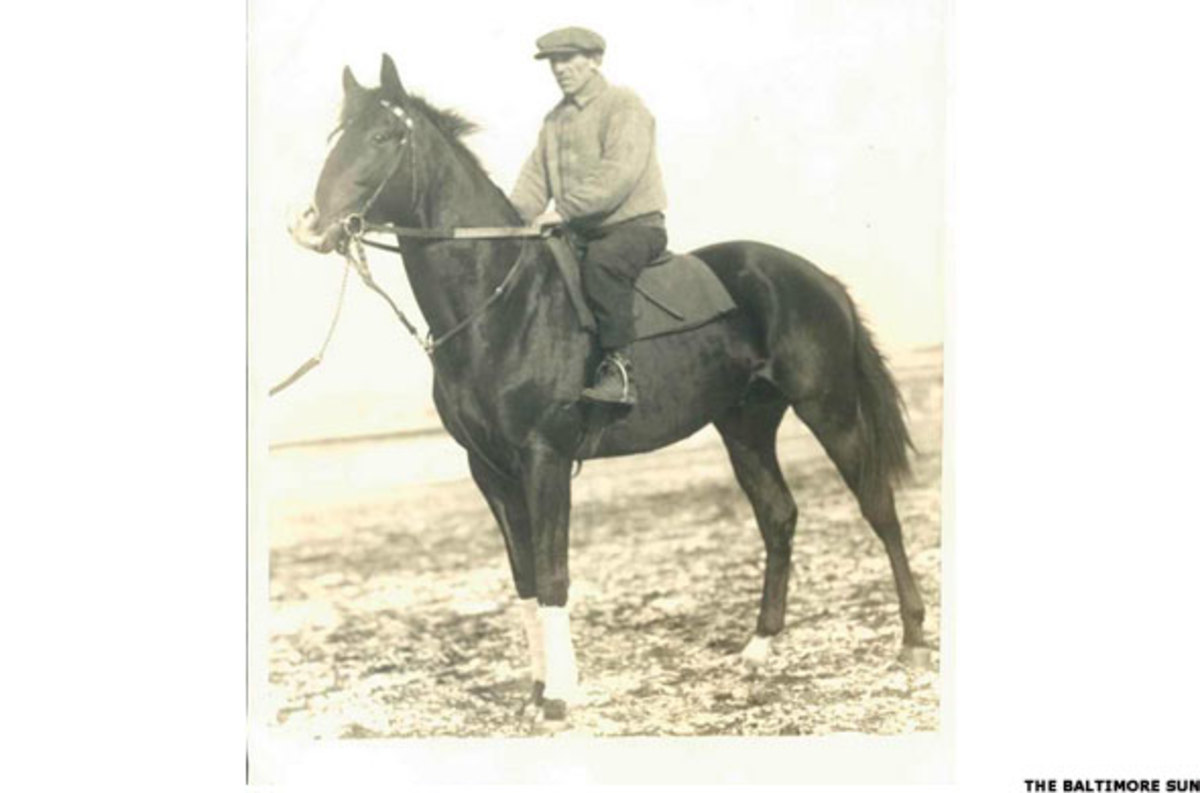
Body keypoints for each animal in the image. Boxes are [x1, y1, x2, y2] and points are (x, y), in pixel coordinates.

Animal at [288, 54, 930, 725]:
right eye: (336, 137)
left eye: (384, 136)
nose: (310, 225)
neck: (499, 303)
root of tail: (814, 276)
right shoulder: (488, 469)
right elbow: (523, 578)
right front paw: (535, 692)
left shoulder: (544, 458)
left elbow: (553, 574)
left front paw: (559, 697)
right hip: (746, 426)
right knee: (778, 516)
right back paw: (759, 646)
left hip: (829, 408)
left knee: (879, 507)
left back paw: (911, 640)